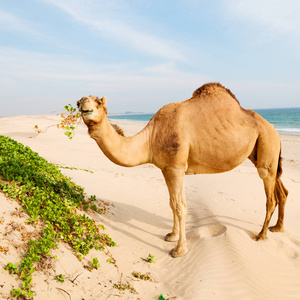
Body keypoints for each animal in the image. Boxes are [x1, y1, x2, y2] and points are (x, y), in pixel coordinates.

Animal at [77, 82, 288, 258]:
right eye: (79, 102)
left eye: (97, 102)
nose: (83, 105)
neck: (151, 138)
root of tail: (275, 130)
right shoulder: (166, 168)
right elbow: (172, 203)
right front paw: (172, 235)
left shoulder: (176, 167)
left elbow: (180, 207)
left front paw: (179, 250)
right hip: (262, 153)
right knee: (282, 190)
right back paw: (277, 228)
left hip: (267, 143)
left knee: (270, 196)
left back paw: (261, 235)